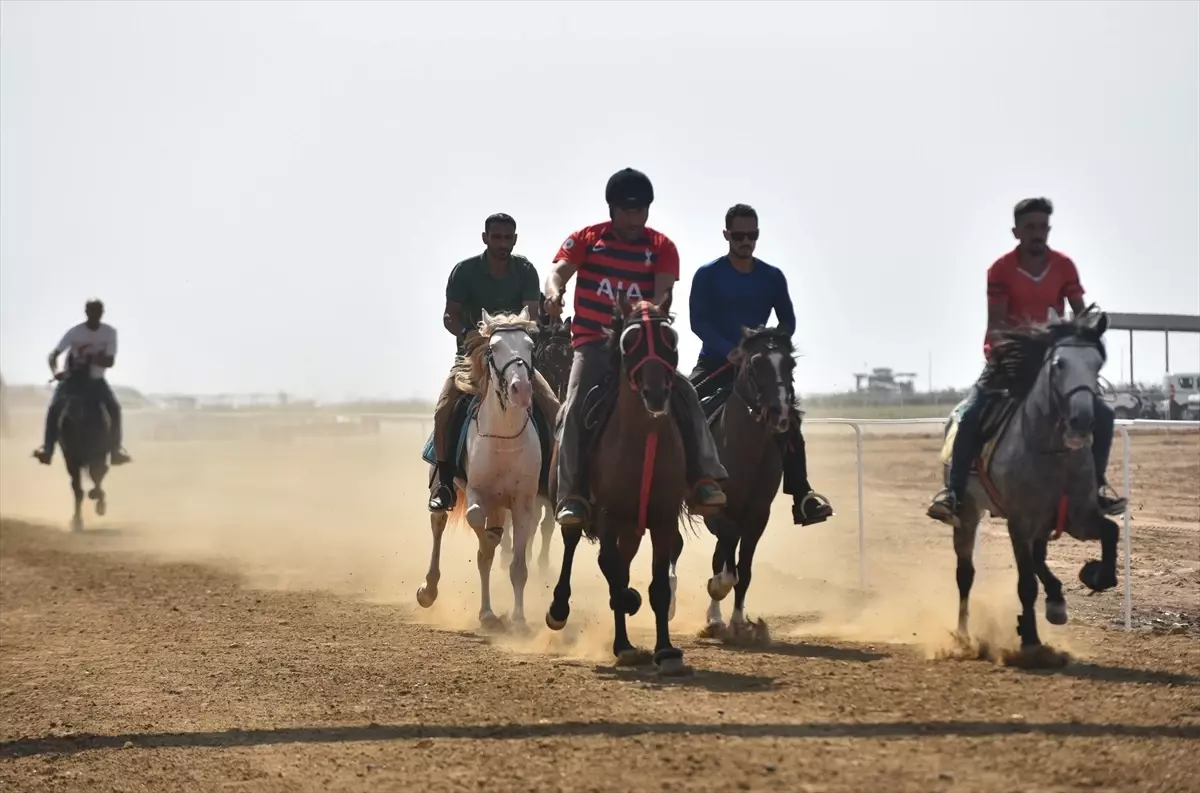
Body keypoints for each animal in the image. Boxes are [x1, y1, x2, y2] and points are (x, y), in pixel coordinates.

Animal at [57, 367, 112, 527]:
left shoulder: (99, 452)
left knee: (100, 471)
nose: (72, 411)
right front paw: (76, 521)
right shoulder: (70, 457)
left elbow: (97, 472)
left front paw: (99, 502)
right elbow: (77, 488)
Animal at [415, 305, 542, 628]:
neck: (504, 438)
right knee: (438, 523)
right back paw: (431, 591)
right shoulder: (477, 494)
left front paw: (518, 619)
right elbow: (478, 531)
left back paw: (488, 612)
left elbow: (518, 565)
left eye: (530, 345)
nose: (520, 389)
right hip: (442, 487)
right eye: (493, 348)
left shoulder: (523, 503)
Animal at [547, 297, 696, 676]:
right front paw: (627, 617)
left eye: (670, 338)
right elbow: (610, 570)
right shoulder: (606, 515)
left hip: (632, 529)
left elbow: (658, 586)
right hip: (576, 507)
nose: (656, 393)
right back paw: (560, 609)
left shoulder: (662, 518)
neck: (643, 438)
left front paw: (666, 650)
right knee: (574, 546)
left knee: (621, 562)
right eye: (630, 341)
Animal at [696, 323, 796, 638]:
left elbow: (745, 568)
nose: (780, 413)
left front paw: (738, 620)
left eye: (790, 363)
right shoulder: (715, 510)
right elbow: (727, 562)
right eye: (755, 363)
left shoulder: (757, 514)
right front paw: (717, 590)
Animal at [950, 309, 1118, 662]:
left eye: (1097, 363)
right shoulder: (1019, 522)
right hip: (968, 514)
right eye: (1059, 364)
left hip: (1044, 523)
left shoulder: (1079, 516)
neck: (1052, 453)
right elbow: (1025, 584)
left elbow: (1111, 533)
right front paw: (1029, 638)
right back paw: (963, 637)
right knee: (965, 574)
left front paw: (1094, 574)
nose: (1083, 420)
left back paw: (1056, 601)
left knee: (1039, 557)